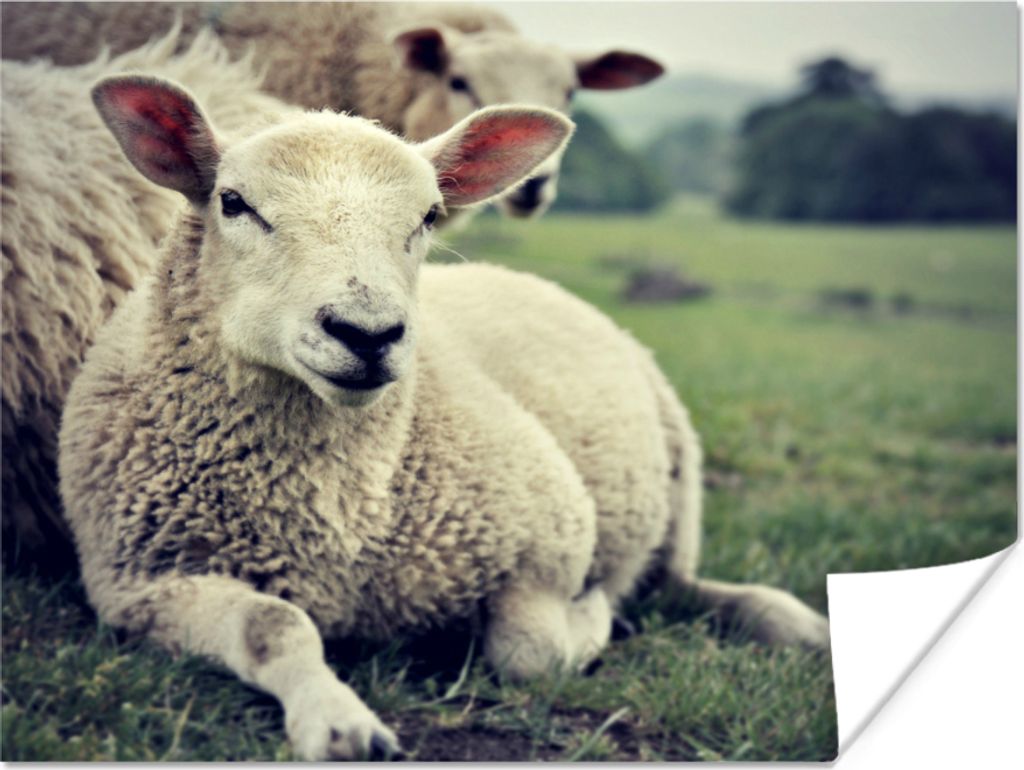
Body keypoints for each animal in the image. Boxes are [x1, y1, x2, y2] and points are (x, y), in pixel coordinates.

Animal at [59, 74, 829, 760]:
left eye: (428, 216)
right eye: (233, 202)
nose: (367, 333)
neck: (329, 516)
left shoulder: (550, 537)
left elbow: (534, 653)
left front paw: (593, 617)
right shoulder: (139, 584)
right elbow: (274, 626)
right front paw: (338, 722)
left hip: (679, 488)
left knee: (685, 585)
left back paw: (796, 622)